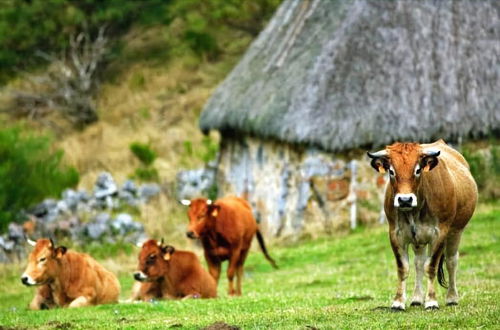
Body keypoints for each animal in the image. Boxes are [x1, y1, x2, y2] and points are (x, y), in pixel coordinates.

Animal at [368, 139, 476, 310]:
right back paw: (417, 298)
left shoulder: (440, 233)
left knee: (451, 261)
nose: (405, 200)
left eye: (418, 170)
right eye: (391, 171)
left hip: (456, 232)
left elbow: (431, 266)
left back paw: (452, 298)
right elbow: (403, 268)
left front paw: (431, 301)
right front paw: (398, 302)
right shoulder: (395, 234)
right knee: (419, 262)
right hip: (418, 239)